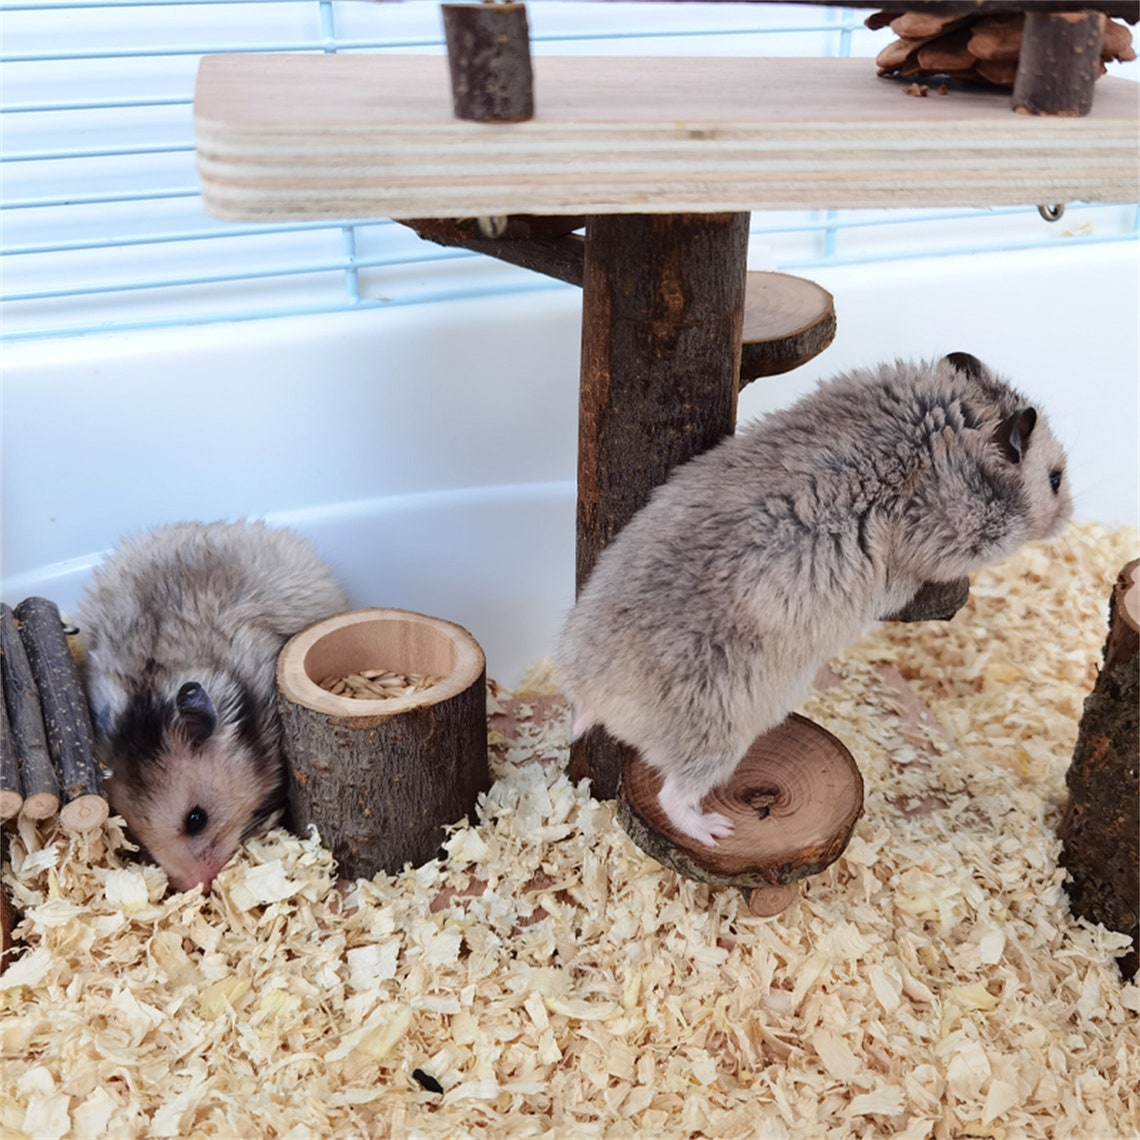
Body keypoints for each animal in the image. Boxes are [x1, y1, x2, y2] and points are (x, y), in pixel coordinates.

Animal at [557, 353, 1073, 847]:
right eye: (1055, 479)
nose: (1069, 519)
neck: (966, 417)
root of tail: (596, 690)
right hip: (714, 737)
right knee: (673, 796)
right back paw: (714, 830)